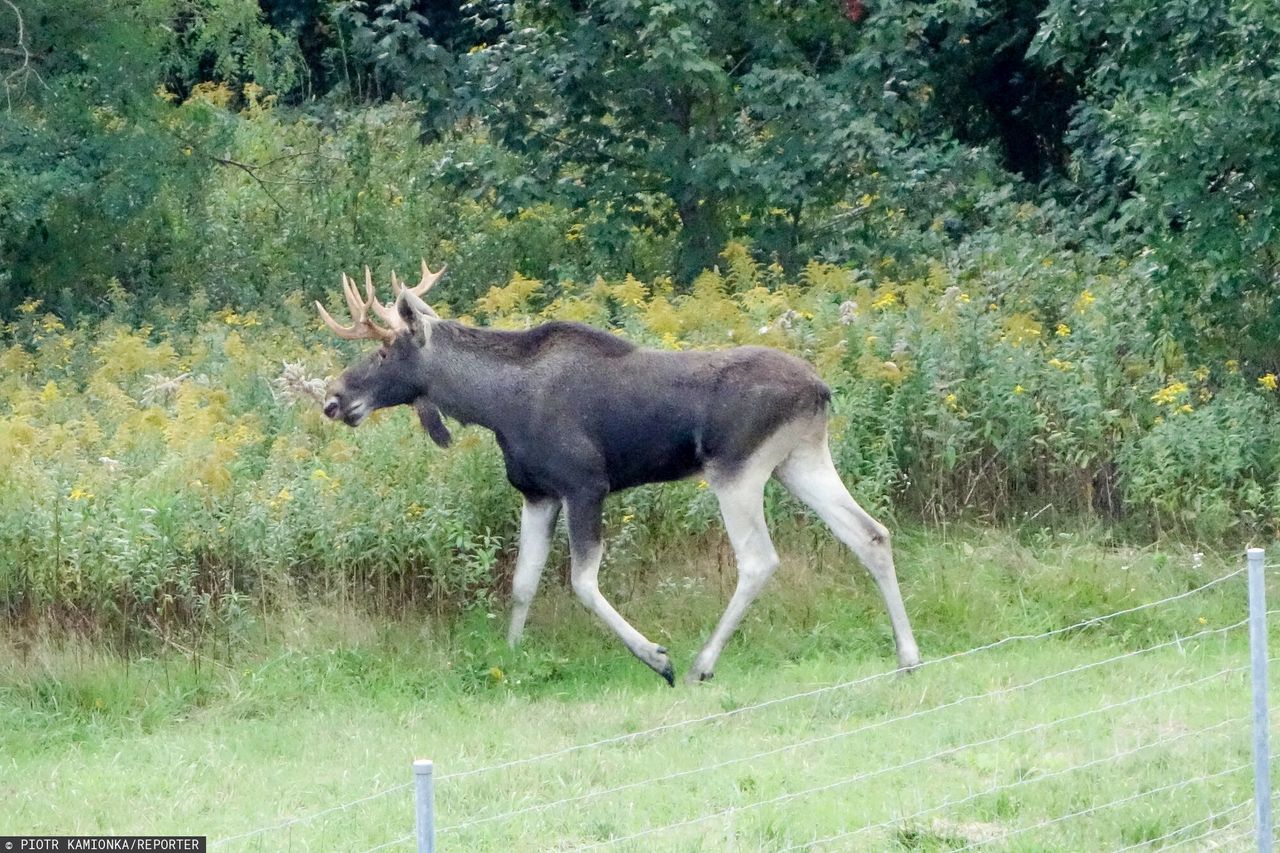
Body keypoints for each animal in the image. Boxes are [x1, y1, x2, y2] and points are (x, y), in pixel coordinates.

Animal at [318, 262, 921, 681]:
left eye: (383, 352)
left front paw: (656, 656)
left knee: (758, 559)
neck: (495, 406)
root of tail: (821, 390)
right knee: (871, 533)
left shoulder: (586, 485)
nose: (333, 399)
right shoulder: (537, 494)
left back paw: (701, 663)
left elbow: (581, 582)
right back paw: (908, 655)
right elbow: (522, 583)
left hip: (738, 471)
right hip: (800, 461)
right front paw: (511, 657)